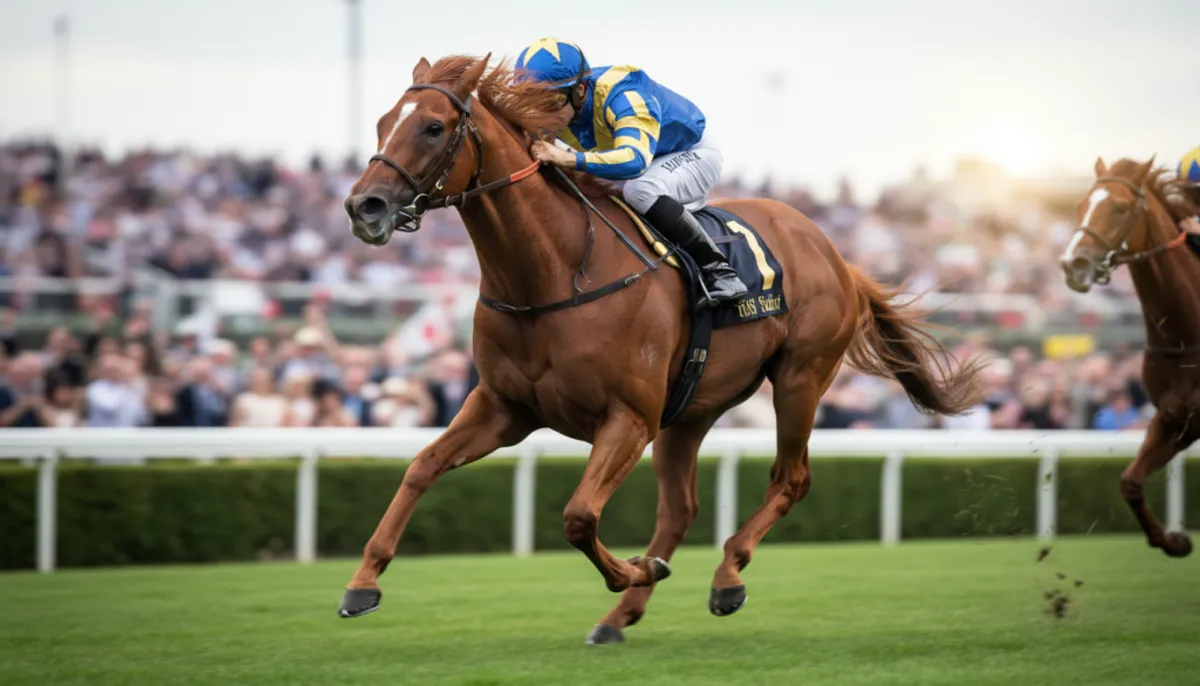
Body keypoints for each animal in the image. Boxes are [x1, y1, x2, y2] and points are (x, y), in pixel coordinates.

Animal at [336, 53, 986, 643]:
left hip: (801, 376)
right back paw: (620, 617)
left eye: (433, 127)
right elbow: (421, 467)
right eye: (383, 121)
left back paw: (726, 576)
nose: (362, 206)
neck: (554, 274)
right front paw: (362, 583)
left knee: (791, 478)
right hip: (691, 410)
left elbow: (578, 516)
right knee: (681, 509)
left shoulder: (629, 416)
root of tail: (835, 253)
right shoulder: (504, 407)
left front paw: (633, 569)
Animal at [1059, 155, 1198, 559]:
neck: (1186, 334)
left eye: (1120, 207)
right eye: (1080, 206)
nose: (1072, 264)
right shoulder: (1176, 419)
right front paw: (1173, 541)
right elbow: (1129, 482)